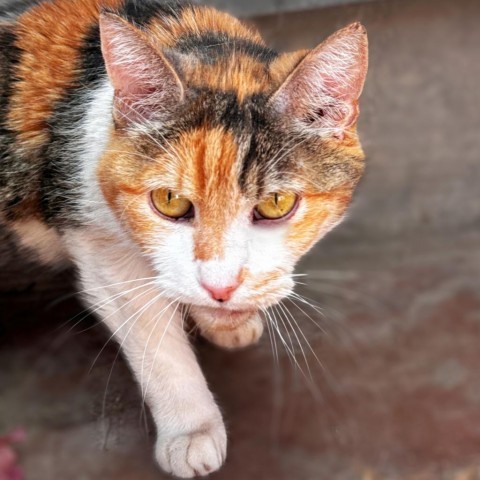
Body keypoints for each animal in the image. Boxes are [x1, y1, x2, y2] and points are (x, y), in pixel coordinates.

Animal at [0, 0, 368, 476]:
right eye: (170, 201)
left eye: (276, 203)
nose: (221, 287)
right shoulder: (97, 241)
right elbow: (155, 339)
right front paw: (192, 431)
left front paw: (229, 320)